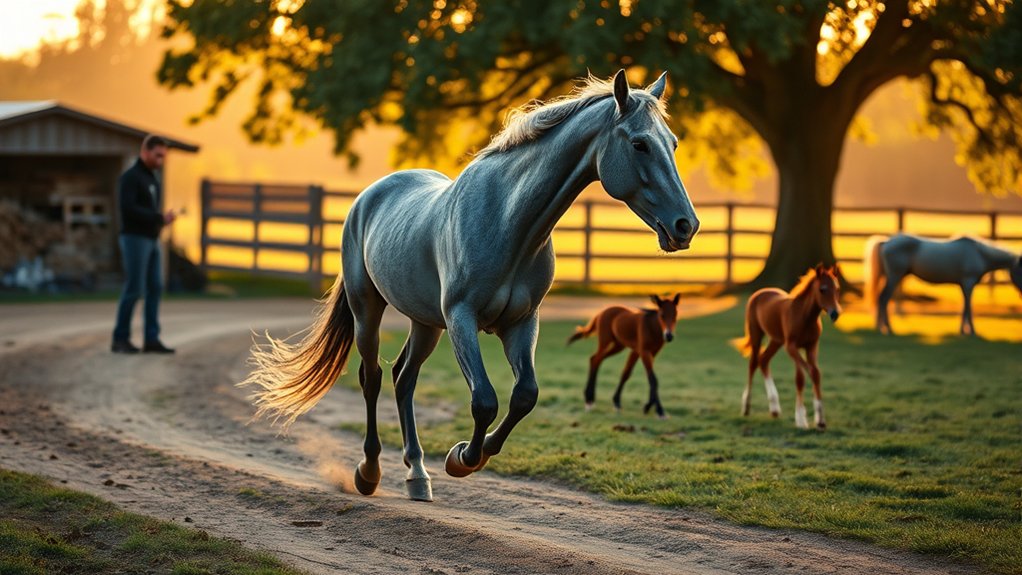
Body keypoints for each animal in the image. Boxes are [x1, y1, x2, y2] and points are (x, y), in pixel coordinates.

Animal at [241, 70, 699, 502]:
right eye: (640, 144)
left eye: (674, 143)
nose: (686, 226)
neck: (508, 221)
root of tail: (367, 197)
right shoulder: (461, 319)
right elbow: (484, 400)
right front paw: (462, 458)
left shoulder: (521, 323)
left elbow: (524, 396)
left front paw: (468, 457)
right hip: (367, 309)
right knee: (372, 377)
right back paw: (369, 472)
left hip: (426, 324)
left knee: (403, 379)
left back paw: (417, 474)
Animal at [734, 265, 841, 430]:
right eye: (822, 289)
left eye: (837, 288)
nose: (835, 313)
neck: (805, 317)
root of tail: (761, 292)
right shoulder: (791, 347)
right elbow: (802, 377)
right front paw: (801, 419)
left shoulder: (811, 346)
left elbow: (815, 374)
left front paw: (820, 420)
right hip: (757, 334)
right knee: (753, 364)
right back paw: (746, 407)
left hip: (776, 340)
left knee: (764, 360)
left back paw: (774, 409)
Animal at [865, 234, 1022, 336]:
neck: (979, 254)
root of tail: (886, 241)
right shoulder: (968, 283)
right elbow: (968, 307)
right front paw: (971, 331)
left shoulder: (963, 285)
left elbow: (964, 307)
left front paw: (963, 331)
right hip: (895, 276)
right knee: (884, 299)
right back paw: (888, 329)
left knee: (882, 299)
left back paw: (881, 327)